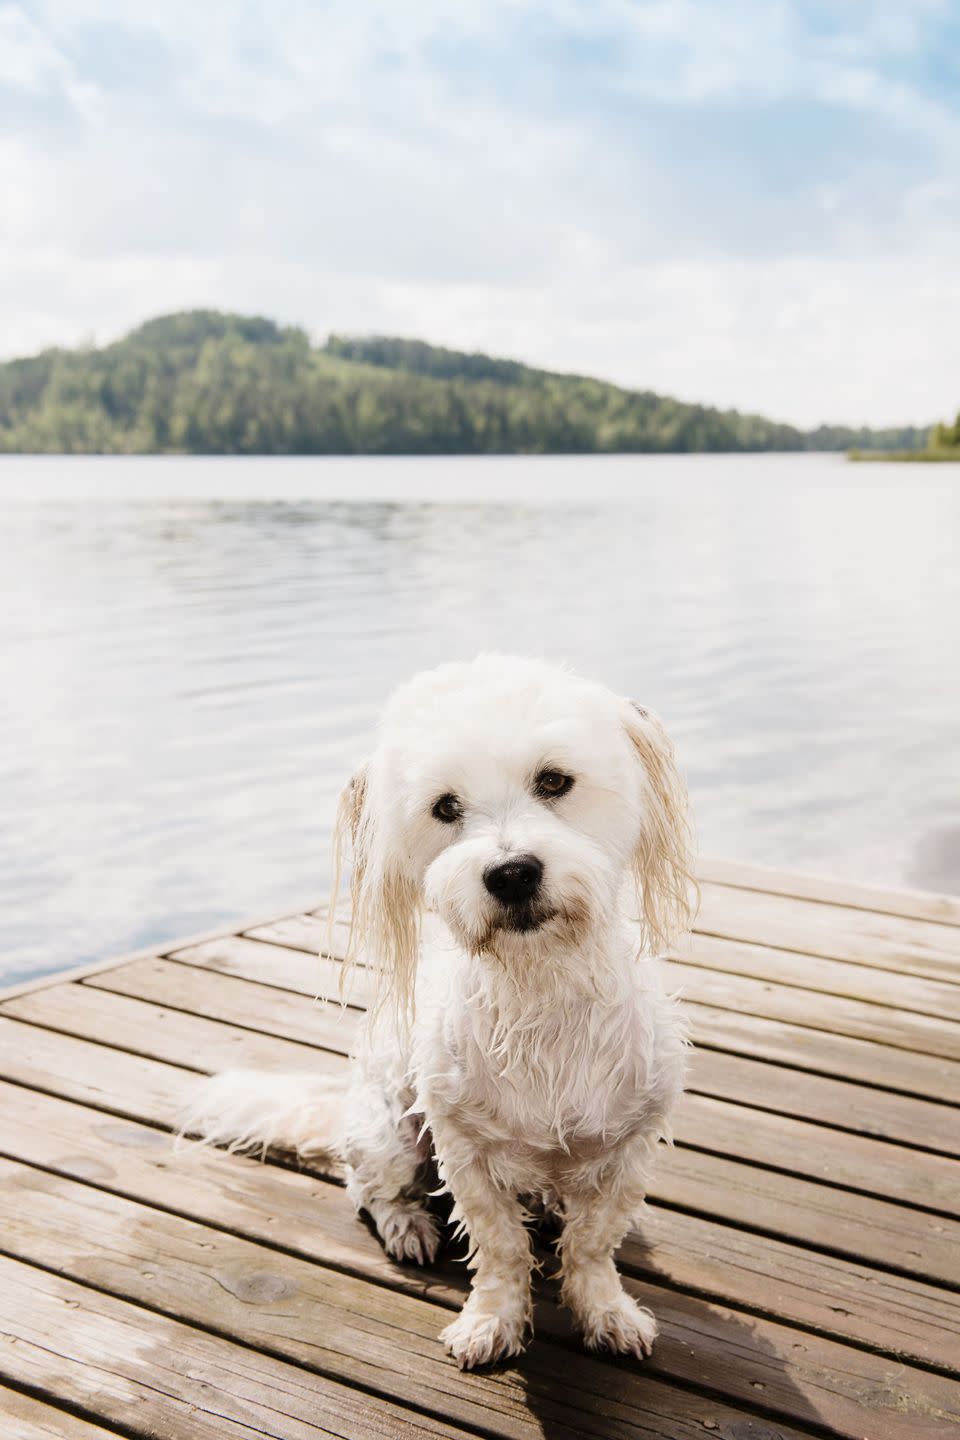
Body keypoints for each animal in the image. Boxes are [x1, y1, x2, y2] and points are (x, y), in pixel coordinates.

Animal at [182, 659, 690, 1365]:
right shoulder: (464, 1154)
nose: (511, 873)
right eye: (445, 807)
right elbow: (500, 1247)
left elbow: (591, 1245)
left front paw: (605, 1312)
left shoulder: (626, 1149)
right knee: (370, 1189)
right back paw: (409, 1225)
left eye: (554, 780)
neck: (538, 991)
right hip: (388, 1135)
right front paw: (493, 1322)